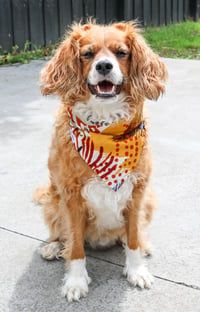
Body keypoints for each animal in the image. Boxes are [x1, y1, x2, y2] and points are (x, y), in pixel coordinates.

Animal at [33, 21, 168, 302]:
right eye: (87, 54)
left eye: (122, 52)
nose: (104, 66)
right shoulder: (71, 196)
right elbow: (75, 246)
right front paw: (75, 281)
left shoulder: (137, 193)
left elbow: (134, 238)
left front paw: (136, 270)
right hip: (52, 200)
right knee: (59, 233)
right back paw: (52, 247)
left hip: (150, 199)